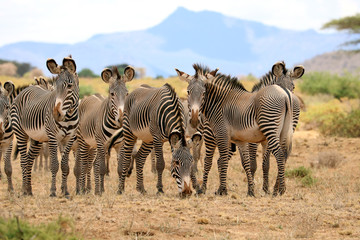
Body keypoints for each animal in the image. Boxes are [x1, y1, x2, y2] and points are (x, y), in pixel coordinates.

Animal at [10, 56, 79, 197]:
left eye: (70, 86)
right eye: (56, 87)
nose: (56, 114)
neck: (68, 116)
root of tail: (28, 88)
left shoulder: (69, 138)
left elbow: (65, 165)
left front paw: (65, 191)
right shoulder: (53, 138)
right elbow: (54, 165)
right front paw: (53, 191)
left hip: (37, 139)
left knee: (29, 159)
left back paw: (29, 190)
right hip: (21, 133)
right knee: (23, 160)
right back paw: (24, 190)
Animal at [74, 65, 135, 195]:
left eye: (127, 93)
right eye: (112, 94)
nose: (121, 119)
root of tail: (89, 97)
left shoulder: (120, 145)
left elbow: (119, 168)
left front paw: (119, 190)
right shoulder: (101, 143)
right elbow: (101, 168)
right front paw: (100, 192)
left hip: (93, 145)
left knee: (92, 164)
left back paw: (92, 188)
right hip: (83, 141)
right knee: (84, 164)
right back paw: (82, 189)